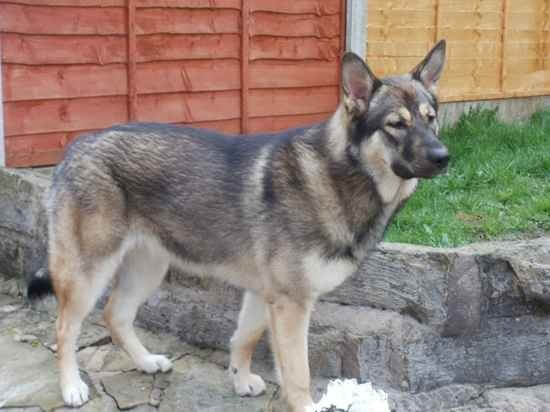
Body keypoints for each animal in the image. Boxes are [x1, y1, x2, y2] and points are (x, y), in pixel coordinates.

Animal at [27, 40, 448, 410]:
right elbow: (298, 375)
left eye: (431, 120)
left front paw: (240, 380)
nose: (444, 156)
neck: (341, 174)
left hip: (148, 267)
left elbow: (244, 338)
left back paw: (146, 362)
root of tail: (75, 148)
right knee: (65, 329)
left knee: (115, 316)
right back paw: (71, 387)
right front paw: (302, 404)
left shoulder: (265, 295)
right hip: (89, 274)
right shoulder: (292, 305)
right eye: (396, 124)